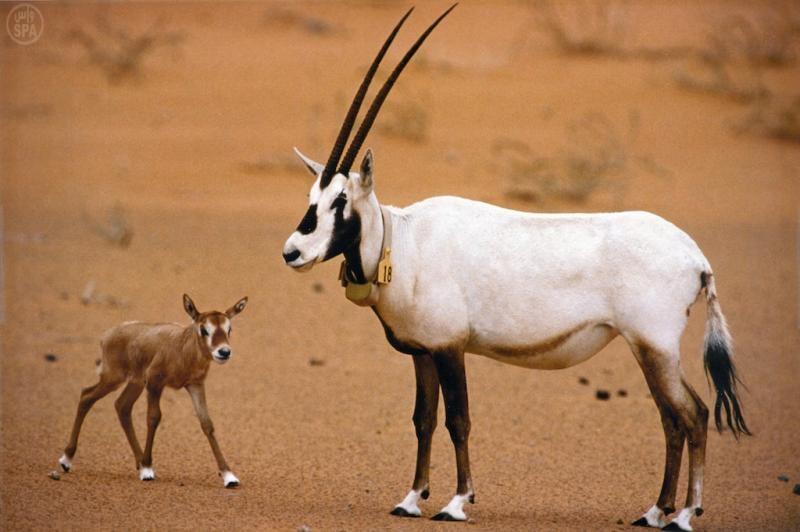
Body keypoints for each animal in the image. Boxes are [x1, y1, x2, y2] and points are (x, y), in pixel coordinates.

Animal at [57, 294, 247, 488]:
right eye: (203, 329)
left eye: (229, 328)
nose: (224, 352)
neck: (181, 346)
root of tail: (108, 335)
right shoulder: (155, 384)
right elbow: (153, 417)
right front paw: (148, 469)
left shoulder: (195, 385)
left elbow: (207, 424)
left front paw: (229, 476)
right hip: (113, 379)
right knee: (86, 396)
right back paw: (66, 460)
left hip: (135, 383)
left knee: (122, 406)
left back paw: (138, 462)